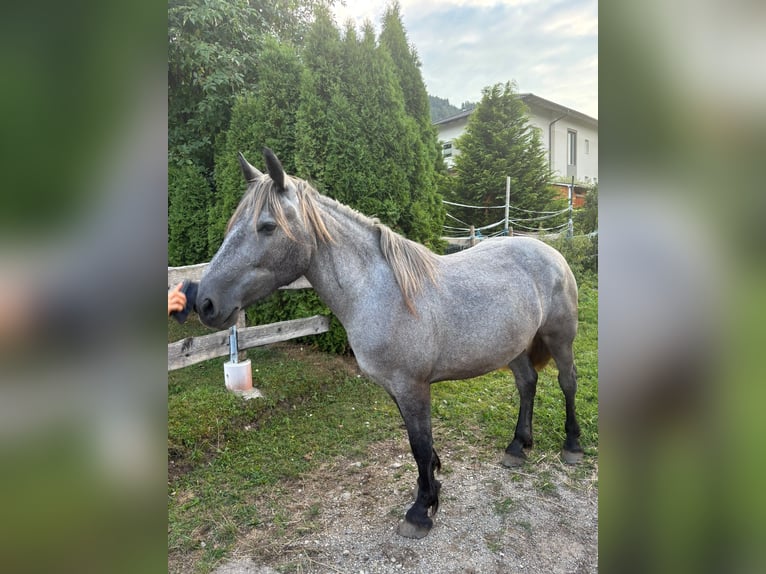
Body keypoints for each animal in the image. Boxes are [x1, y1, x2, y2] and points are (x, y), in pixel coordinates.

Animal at [197, 148, 583, 539]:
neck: (381, 292)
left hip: (559, 337)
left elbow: (420, 446)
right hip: (514, 346)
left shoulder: (412, 386)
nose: (205, 302)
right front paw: (431, 489)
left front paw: (420, 510)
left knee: (567, 382)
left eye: (267, 226)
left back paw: (572, 445)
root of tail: (549, 250)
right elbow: (421, 446)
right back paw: (518, 447)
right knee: (527, 383)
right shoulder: (395, 388)